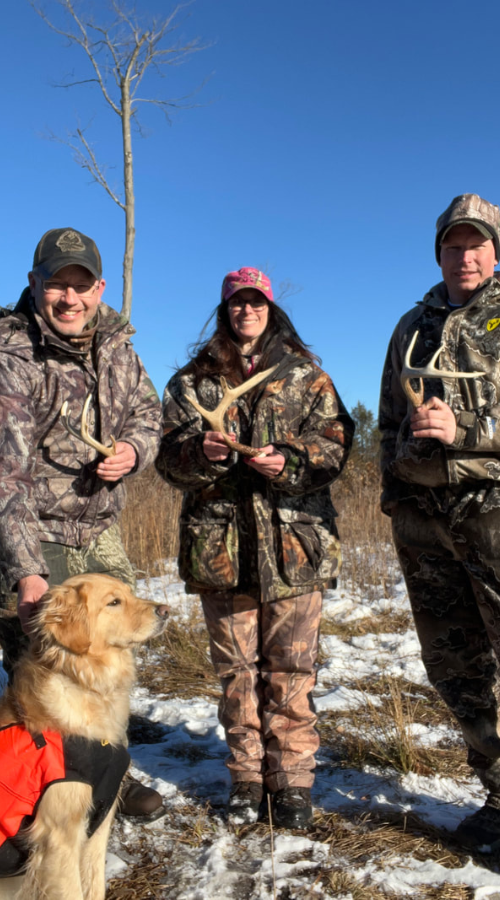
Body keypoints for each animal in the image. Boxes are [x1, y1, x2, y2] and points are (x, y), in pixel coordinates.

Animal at [0, 576, 169, 900]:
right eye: (114, 602)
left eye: (130, 593)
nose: (166, 611)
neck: (87, 684)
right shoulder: (58, 837)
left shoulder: (98, 823)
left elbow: (94, 884)